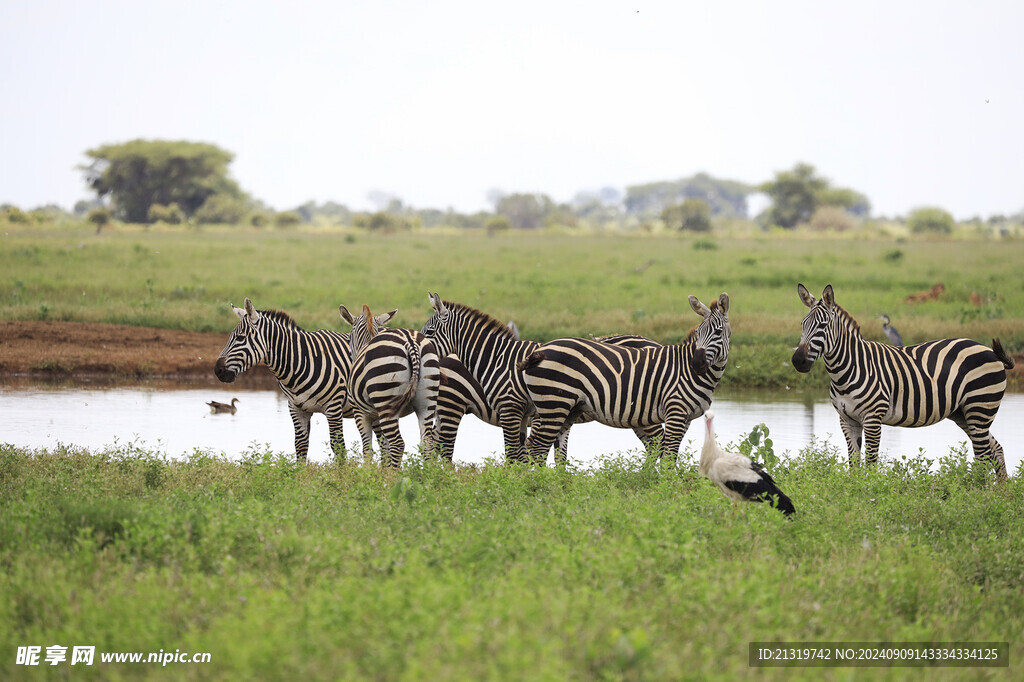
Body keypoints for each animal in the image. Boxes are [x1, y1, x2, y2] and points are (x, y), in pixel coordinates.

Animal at [214, 296, 382, 462]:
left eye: (240, 338)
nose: (217, 370)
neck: (302, 362)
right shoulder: (296, 408)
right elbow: (300, 446)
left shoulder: (334, 407)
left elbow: (338, 446)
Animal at [342, 303, 442, 466]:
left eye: (350, 337)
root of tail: (411, 342)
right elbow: (384, 447)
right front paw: (382, 468)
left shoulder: (361, 412)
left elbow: (369, 449)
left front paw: (370, 471)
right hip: (427, 401)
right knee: (427, 443)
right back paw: (428, 472)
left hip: (386, 401)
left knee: (398, 443)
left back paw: (392, 473)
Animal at [520, 292, 729, 466]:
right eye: (698, 332)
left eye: (718, 332)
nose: (697, 363)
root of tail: (539, 351)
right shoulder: (676, 412)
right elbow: (669, 457)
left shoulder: (684, 417)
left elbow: (669, 454)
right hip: (554, 404)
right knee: (538, 448)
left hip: (566, 408)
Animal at [786, 280, 1011, 477]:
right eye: (802, 324)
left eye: (822, 326)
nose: (798, 361)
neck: (846, 372)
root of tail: (990, 351)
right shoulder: (847, 420)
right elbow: (854, 465)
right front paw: (854, 490)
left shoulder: (873, 418)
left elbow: (871, 464)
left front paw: (869, 492)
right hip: (964, 414)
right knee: (996, 449)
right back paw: (1000, 492)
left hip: (979, 408)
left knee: (983, 456)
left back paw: (979, 491)